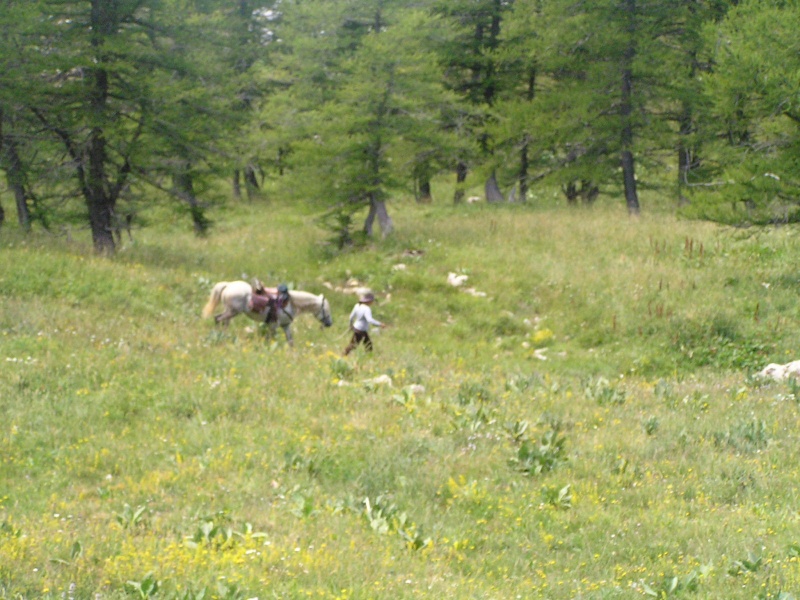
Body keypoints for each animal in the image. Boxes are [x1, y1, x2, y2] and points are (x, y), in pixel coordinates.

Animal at [206, 278, 334, 344]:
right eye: (325, 309)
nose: (329, 323)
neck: (291, 303)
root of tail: (228, 285)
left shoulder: (285, 325)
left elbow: (290, 341)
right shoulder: (273, 325)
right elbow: (270, 339)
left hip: (230, 312)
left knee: (223, 322)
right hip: (232, 312)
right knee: (217, 319)